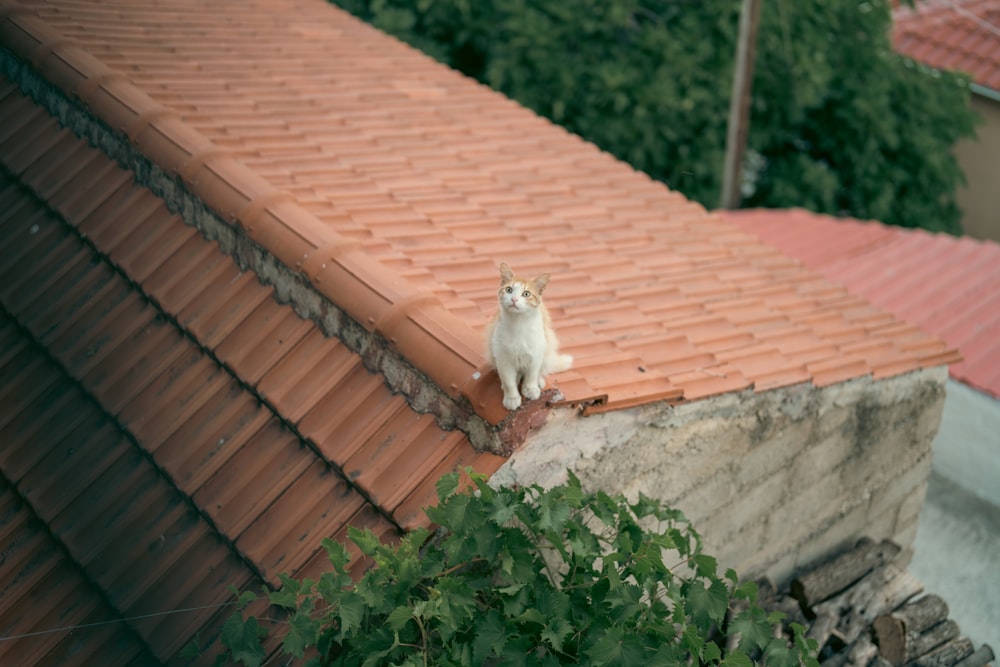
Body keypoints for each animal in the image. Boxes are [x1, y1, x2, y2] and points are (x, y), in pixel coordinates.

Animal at [484, 262, 572, 410]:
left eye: (526, 294)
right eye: (509, 290)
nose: (514, 299)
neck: (518, 324)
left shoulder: (536, 353)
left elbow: (531, 375)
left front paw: (530, 389)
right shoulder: (503, 357)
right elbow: (508, 381)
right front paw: (512, 398)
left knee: (541, 370)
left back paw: (539, 381)